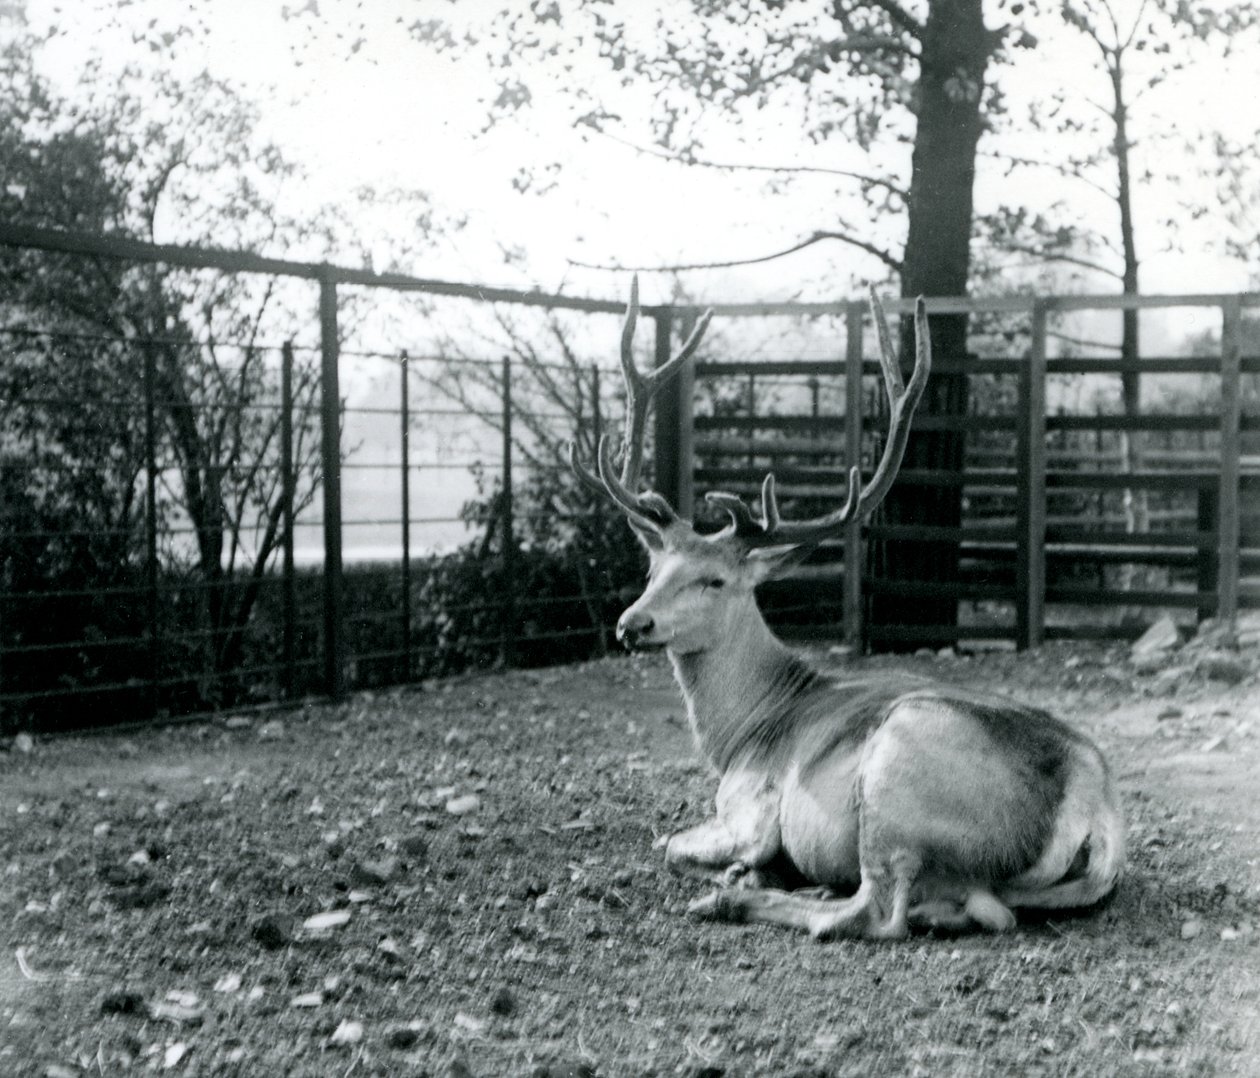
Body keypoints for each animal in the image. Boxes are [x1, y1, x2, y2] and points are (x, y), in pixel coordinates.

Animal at [572, 282, 1123, 936]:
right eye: (653, 570)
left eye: (715, 580)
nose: (633, 624)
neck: (742, 734)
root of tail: (1091, 808)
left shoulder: (750, 808)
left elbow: (673, 845)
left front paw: (741, 872)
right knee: (978, 910)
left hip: (896, 776)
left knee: (878, 911)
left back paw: (737, 898)